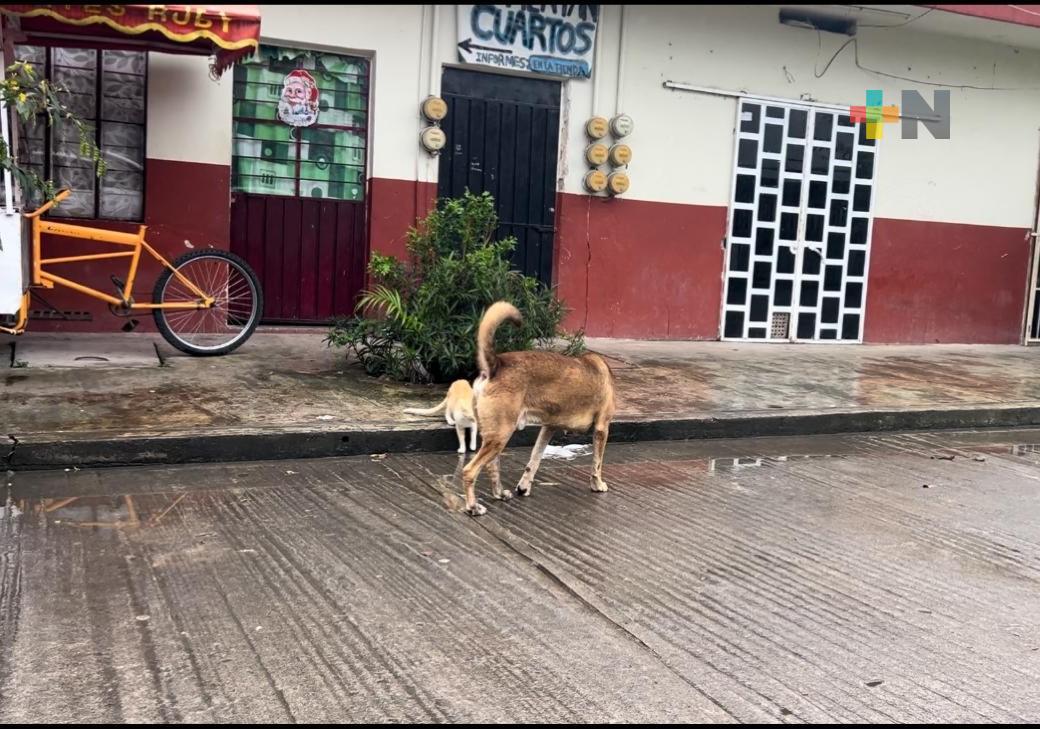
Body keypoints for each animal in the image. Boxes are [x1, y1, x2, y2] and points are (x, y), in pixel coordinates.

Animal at [459, 299, 611, 513]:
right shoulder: (602, 428)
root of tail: (496, 365)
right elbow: (597, 463)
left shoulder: (548, 428)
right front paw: (597, 485)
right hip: (501, 435)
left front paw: (524, 487)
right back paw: (473, 507)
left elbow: (535, 459)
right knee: (470, 470)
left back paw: (499, 494)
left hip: (495, 437)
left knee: (491, 466)